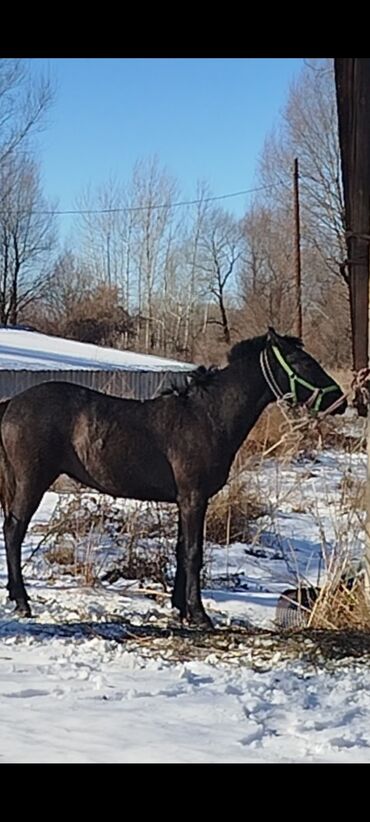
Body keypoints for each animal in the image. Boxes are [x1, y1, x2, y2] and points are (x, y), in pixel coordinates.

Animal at [0, 326, 346, 624]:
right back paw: (23, 601)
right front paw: (199, 614)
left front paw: (181, 608)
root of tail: (12, 403)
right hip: (32, 481)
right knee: (14, 532)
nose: (341, 401)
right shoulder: (194, 498)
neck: (208, 417)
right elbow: (193, 553)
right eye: (303, 361)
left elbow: (181, 550)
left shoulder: (185, 500)